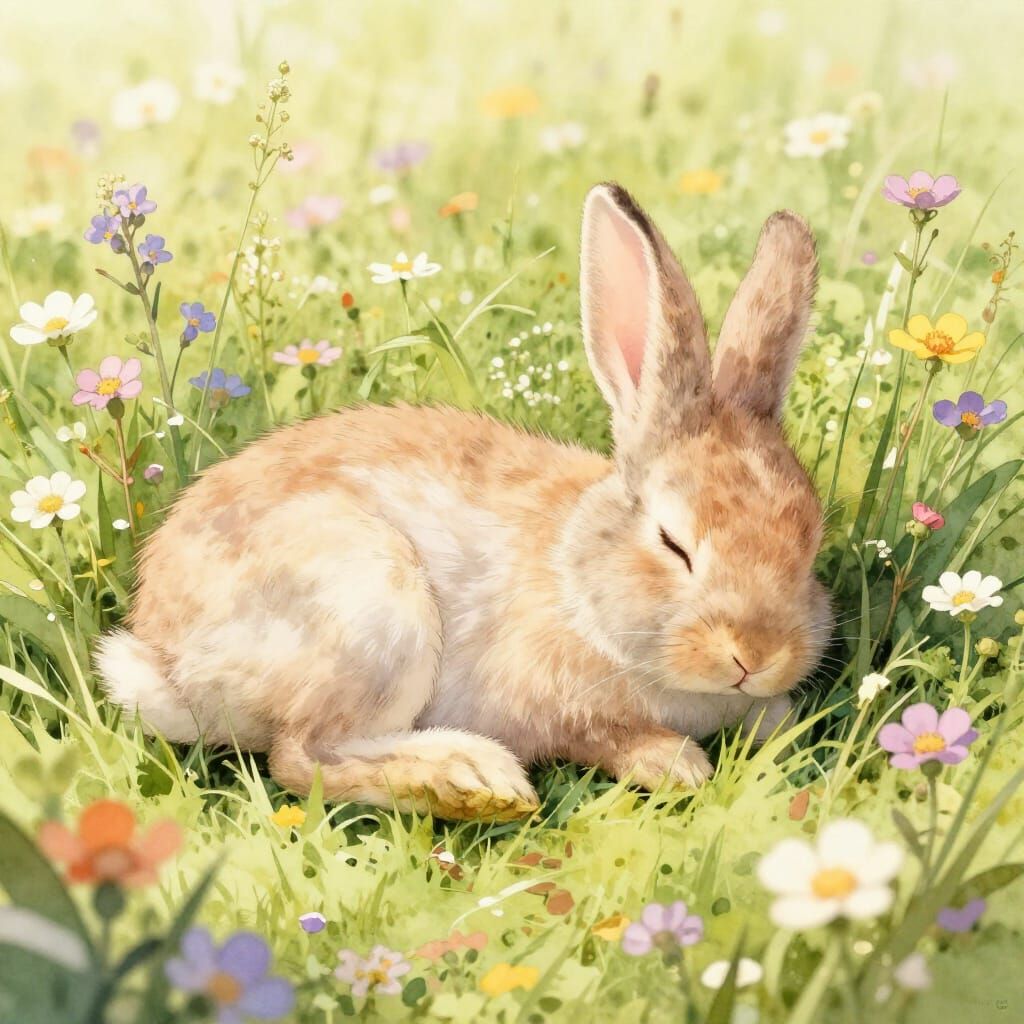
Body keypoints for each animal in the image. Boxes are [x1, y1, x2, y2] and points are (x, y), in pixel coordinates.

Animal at [98, 182, 830, 821]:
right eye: (673, 543)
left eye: (810, 542)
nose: (755, 656)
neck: (576, 577)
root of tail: (167, 662)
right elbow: (604, 737)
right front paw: (677, 764)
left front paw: (777, 722)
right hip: (372, 612)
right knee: (299, 758)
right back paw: (473, 778)